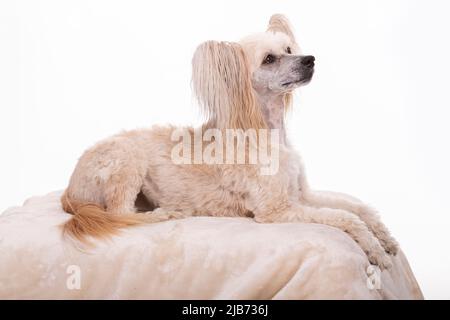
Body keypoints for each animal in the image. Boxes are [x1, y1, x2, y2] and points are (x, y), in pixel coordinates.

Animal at [61, 14, 400, 270]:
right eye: (269, 59)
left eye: (289, 47)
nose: (309, 59)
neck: (268, 132)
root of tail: (70, 190)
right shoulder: (277, 210)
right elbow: (345, 217)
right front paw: (373, 248)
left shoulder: (302, 195)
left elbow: (357, 206)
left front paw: (384, 237)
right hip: (126, 160)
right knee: (120, 214)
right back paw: (163, 214)